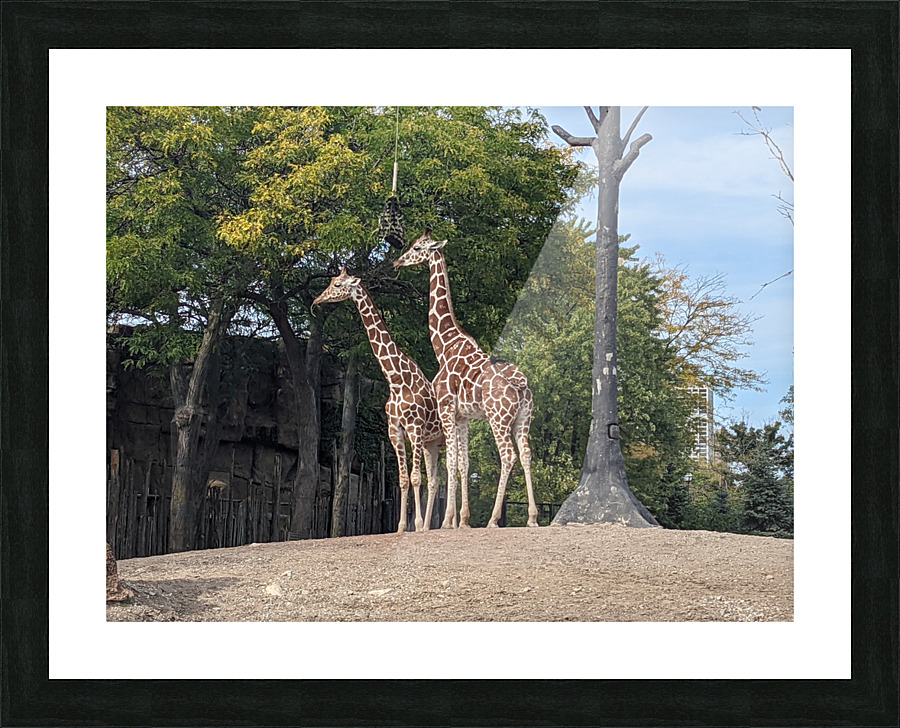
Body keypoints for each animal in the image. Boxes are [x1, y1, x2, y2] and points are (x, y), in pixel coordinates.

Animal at [313, 268, 443, 533]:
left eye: (338, 284)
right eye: (331, 281)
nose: (317, 300)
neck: (396, 379)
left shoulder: (414, 429)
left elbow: (415, 478)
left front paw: (415, 524)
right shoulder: (395, 431)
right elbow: (404, 479)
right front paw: (403, 526)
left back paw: (448, 524)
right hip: (431, 443)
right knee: (436, 480)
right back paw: (430, 526)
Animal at [393, 230, 539, 528]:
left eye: (417, 248)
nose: (397, 261)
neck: (443, 345)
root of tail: (521, 385)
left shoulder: (447, 409)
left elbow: (451, 463)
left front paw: (447, 521)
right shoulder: (464, 417)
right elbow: (463, 464)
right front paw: (461, 519)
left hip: (498, 418)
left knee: (508, 456)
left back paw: (493, 519)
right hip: (523, 419)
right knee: (527, 454)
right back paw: (532, 517)